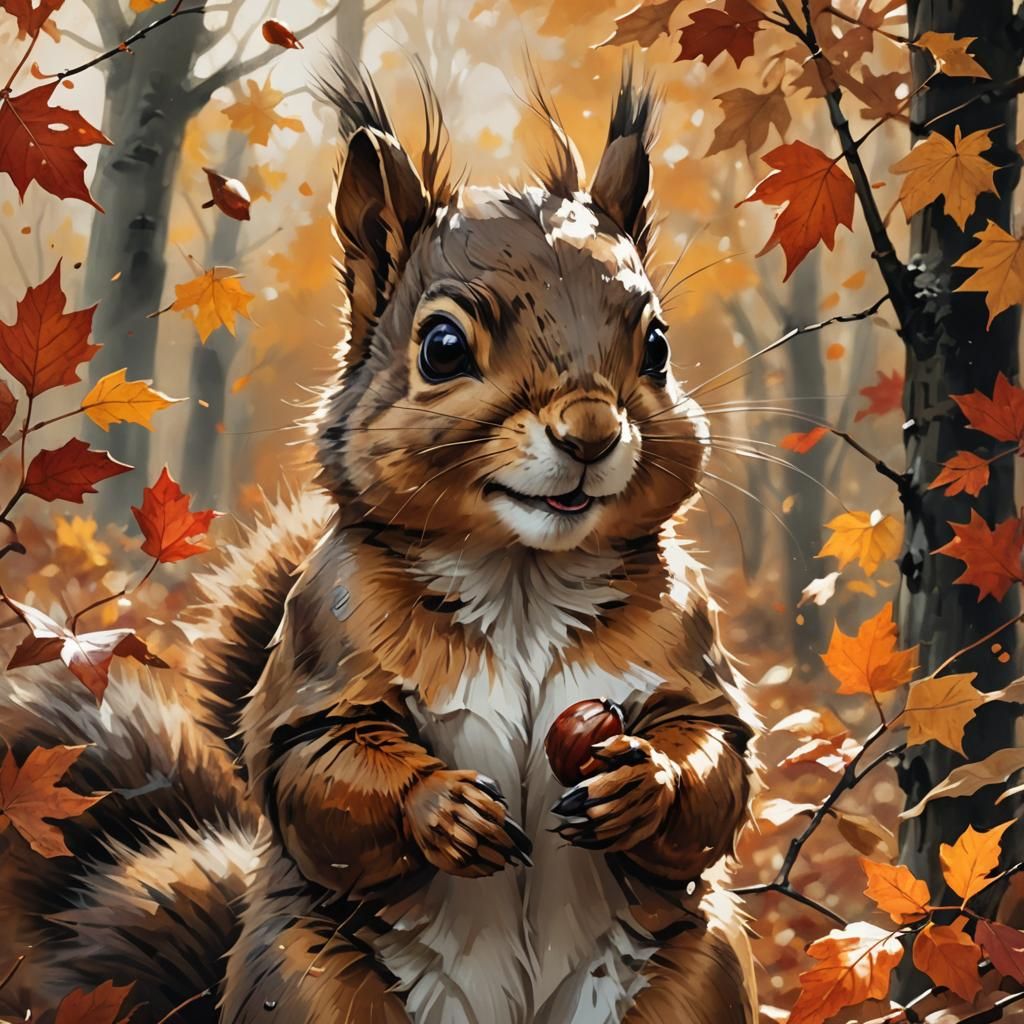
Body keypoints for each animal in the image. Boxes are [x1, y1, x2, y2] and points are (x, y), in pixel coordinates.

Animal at [0, 58, 758, 1024]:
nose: (590, 433)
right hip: (310, 981)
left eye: (657, 346)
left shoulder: (685, 641)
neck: (522, 574)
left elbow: (714, 755)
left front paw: (644, 784)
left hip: (696, 977)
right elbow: (314, 764)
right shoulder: (326, 641)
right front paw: (440, 810)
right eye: (441, 347)